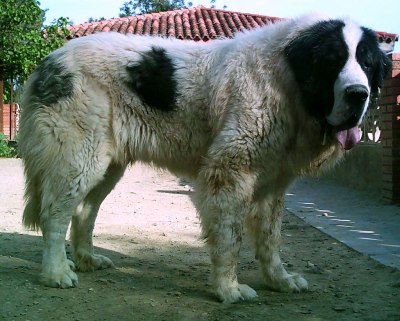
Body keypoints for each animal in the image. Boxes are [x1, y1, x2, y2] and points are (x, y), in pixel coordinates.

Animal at [18, 13, 390, 302]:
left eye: (367, 64)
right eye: (331, 61)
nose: (358, 94)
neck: (287, 81)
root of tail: (49, 62)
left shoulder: (273, 184)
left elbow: (270, 238)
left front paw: (279, 281)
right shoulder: (230, 170)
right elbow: (230, 236)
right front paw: (229, 289)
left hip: (108, 166)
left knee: (84, 212)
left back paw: (86, 260)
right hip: (78, 157)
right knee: (55, 214)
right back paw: (56, 273)